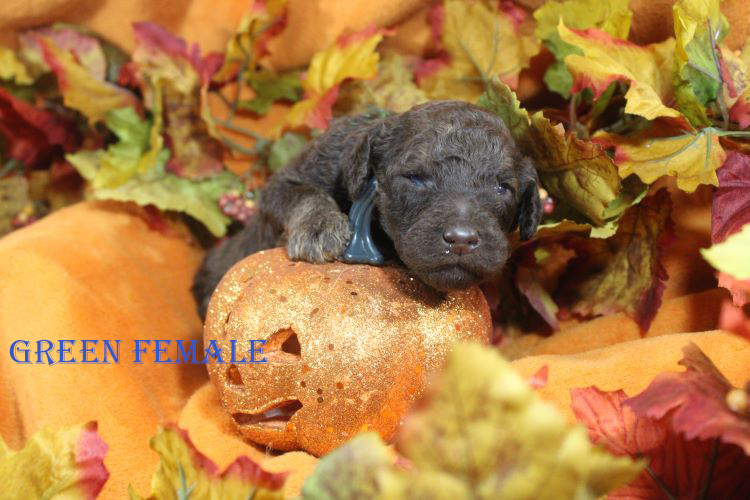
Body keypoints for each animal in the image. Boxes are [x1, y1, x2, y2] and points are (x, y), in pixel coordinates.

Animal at [192, 100, 542, 318]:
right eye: (415, 178)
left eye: (502, 188)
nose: (462, 239)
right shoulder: (286, 182)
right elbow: (302, 193)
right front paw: (319, 227)